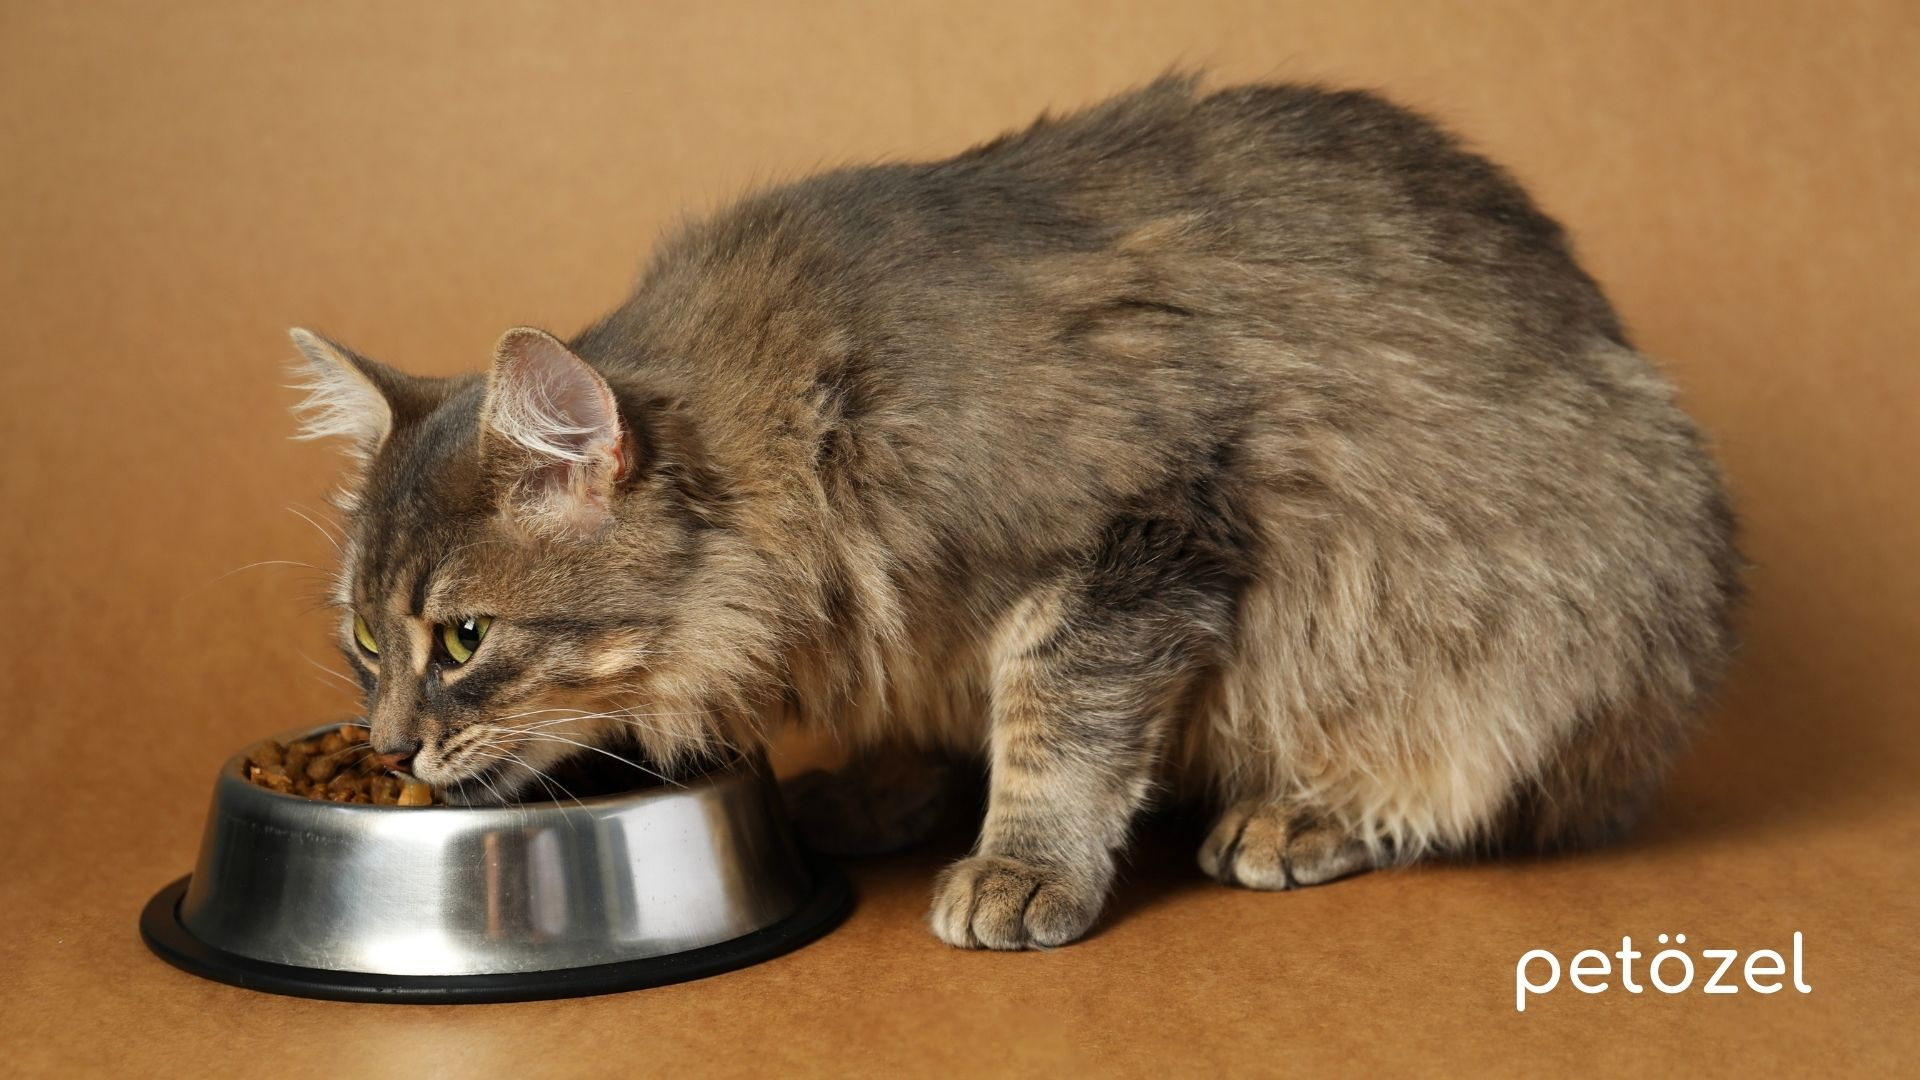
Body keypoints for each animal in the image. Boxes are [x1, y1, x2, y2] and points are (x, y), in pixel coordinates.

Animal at [290, 75, 1741, 950]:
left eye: (463, 640)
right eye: (364, 641)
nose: (391, 745)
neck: (800, 433)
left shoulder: (1144, 531)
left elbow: (1058, 719)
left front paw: (1025, 864)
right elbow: (946, 699)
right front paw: (890, 782)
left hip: (1536, 621)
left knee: (1471, 787)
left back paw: (1306, 813)